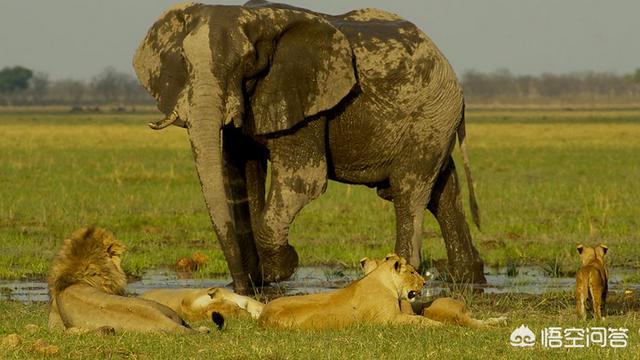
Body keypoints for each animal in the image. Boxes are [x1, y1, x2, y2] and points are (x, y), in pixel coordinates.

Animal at [135, 0, 484, 294]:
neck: (256, 17)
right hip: (436, 120)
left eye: (246, 61)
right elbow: (238, 178)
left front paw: (281, 268)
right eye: (183, 61)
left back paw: (403, 277)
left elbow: (302, 180)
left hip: (430, 117)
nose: (241, 288)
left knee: (408, 190)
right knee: (443, 190)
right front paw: (259, 280)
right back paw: (469, 280)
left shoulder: (305, 97)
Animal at [258, 253, 438, 330]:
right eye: (412, 272)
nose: (424, 282)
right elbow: (420, 320)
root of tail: (262, 318)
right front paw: (441, 326)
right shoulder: (389, 319)